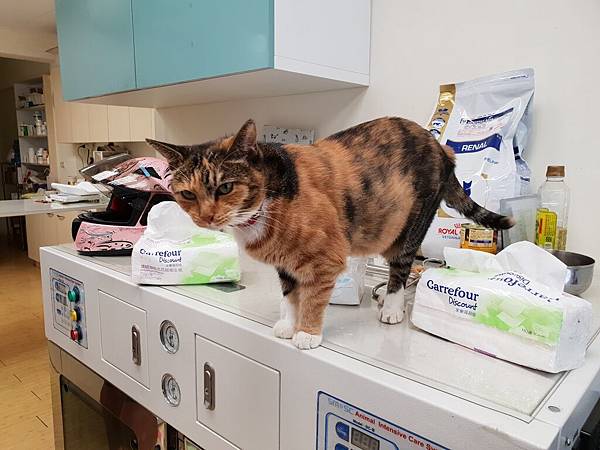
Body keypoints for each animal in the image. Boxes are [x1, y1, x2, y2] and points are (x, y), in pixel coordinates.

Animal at [148, 117, 513, 349]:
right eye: (187, 194)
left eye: (225, 187)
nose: (206, 218)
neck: (266, 201)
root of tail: (441, 148)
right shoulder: (285, 263)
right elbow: (289, 294)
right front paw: (289, 322)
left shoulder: (325, 260)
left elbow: (312, 296)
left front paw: (307, 333)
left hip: (409, 226)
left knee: (401, 267)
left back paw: (392, 306)